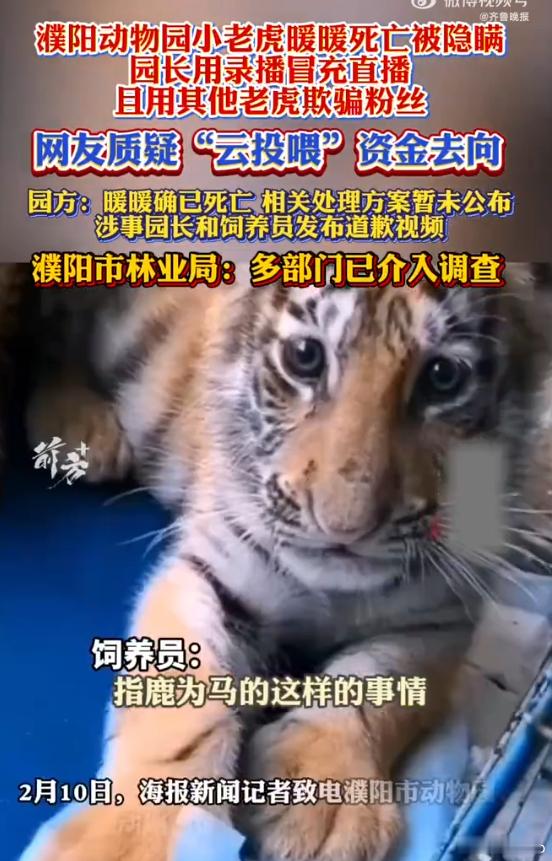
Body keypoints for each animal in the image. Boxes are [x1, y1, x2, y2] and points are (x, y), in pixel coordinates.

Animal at [21, 263, 552, 861]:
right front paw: (131, 839)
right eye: (305, 357)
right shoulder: (211, 566)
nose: (344, 526)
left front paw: (323, 803)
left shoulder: (441, 618)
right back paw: (80, 431)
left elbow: (380, 682)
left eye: (443, 377)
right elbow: (182, 712)